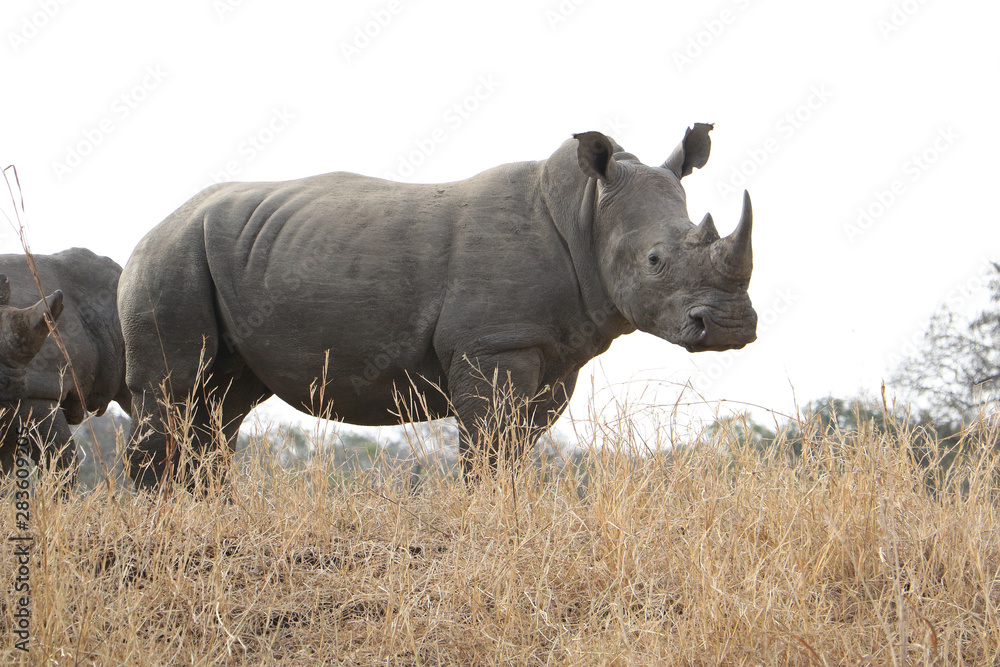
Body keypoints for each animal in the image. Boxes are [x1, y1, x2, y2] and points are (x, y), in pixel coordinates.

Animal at [118, 124, 757, 488]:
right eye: (655, 261)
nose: (730, 326)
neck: (586, 212)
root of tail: (158, 224)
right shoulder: (493, 343)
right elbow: (488, 446)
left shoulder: (553, 353)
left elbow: (515, 448)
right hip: (171, 254)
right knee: (173, 387)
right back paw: (161, 518)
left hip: (231, 251)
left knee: (222, 403)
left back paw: (205, 511)